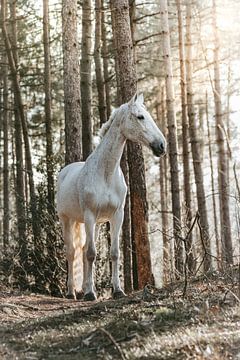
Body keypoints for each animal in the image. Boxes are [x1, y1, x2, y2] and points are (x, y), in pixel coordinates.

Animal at [57, 93, 167, 300]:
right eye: (140, 116)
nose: (161, 146)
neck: (106, 173)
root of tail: (65, 171)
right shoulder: (90, 215)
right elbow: (91, 254)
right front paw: (90, 294)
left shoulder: (117, 216)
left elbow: (114, 253)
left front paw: (117, 290)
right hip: (68, 220)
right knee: (72, 252)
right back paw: (71, 292)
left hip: (96, 224)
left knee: (83, 250)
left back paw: (83, 288)